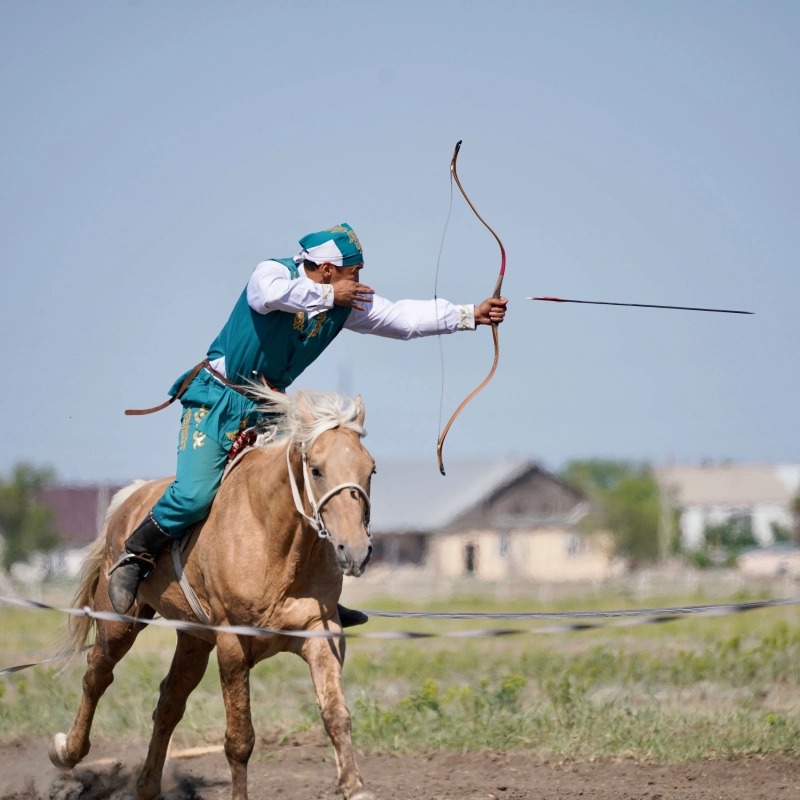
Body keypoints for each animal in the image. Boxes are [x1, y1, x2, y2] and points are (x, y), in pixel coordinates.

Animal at [49, 390, 378, 800]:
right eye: (316, 469)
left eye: (371, 469)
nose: (355, 551)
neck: (271, 539)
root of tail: (129, 498)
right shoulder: (232, 644)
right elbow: (239, 740)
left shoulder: (321, 631)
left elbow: (336, 715)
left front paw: (355, 786)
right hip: (118, 625)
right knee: (96, 675)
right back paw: (67, 751)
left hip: (194, 639)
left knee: (169, 702)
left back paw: (147, 785)